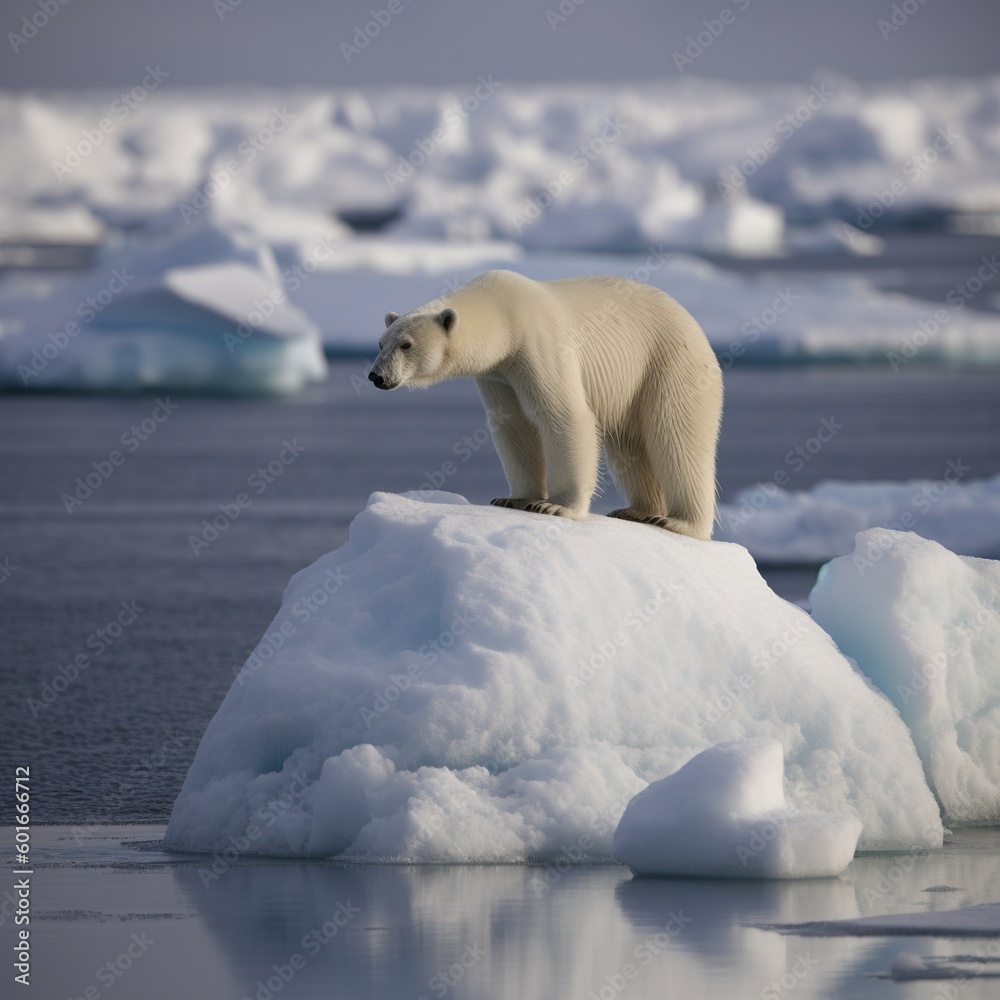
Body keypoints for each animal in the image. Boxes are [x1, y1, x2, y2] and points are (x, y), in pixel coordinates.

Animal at [368, 269, 723, 540]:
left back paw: (677, 521)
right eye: (381, 343)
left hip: (669, 363)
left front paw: (554, 506)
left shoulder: (538, 344)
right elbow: (514, 425)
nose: (376, 375)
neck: (504, 315)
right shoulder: (499, 375)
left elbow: (564, 416)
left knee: (675, 435)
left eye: (406, 344)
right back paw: (637, 510)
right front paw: (513, 499)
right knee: (630, 445)